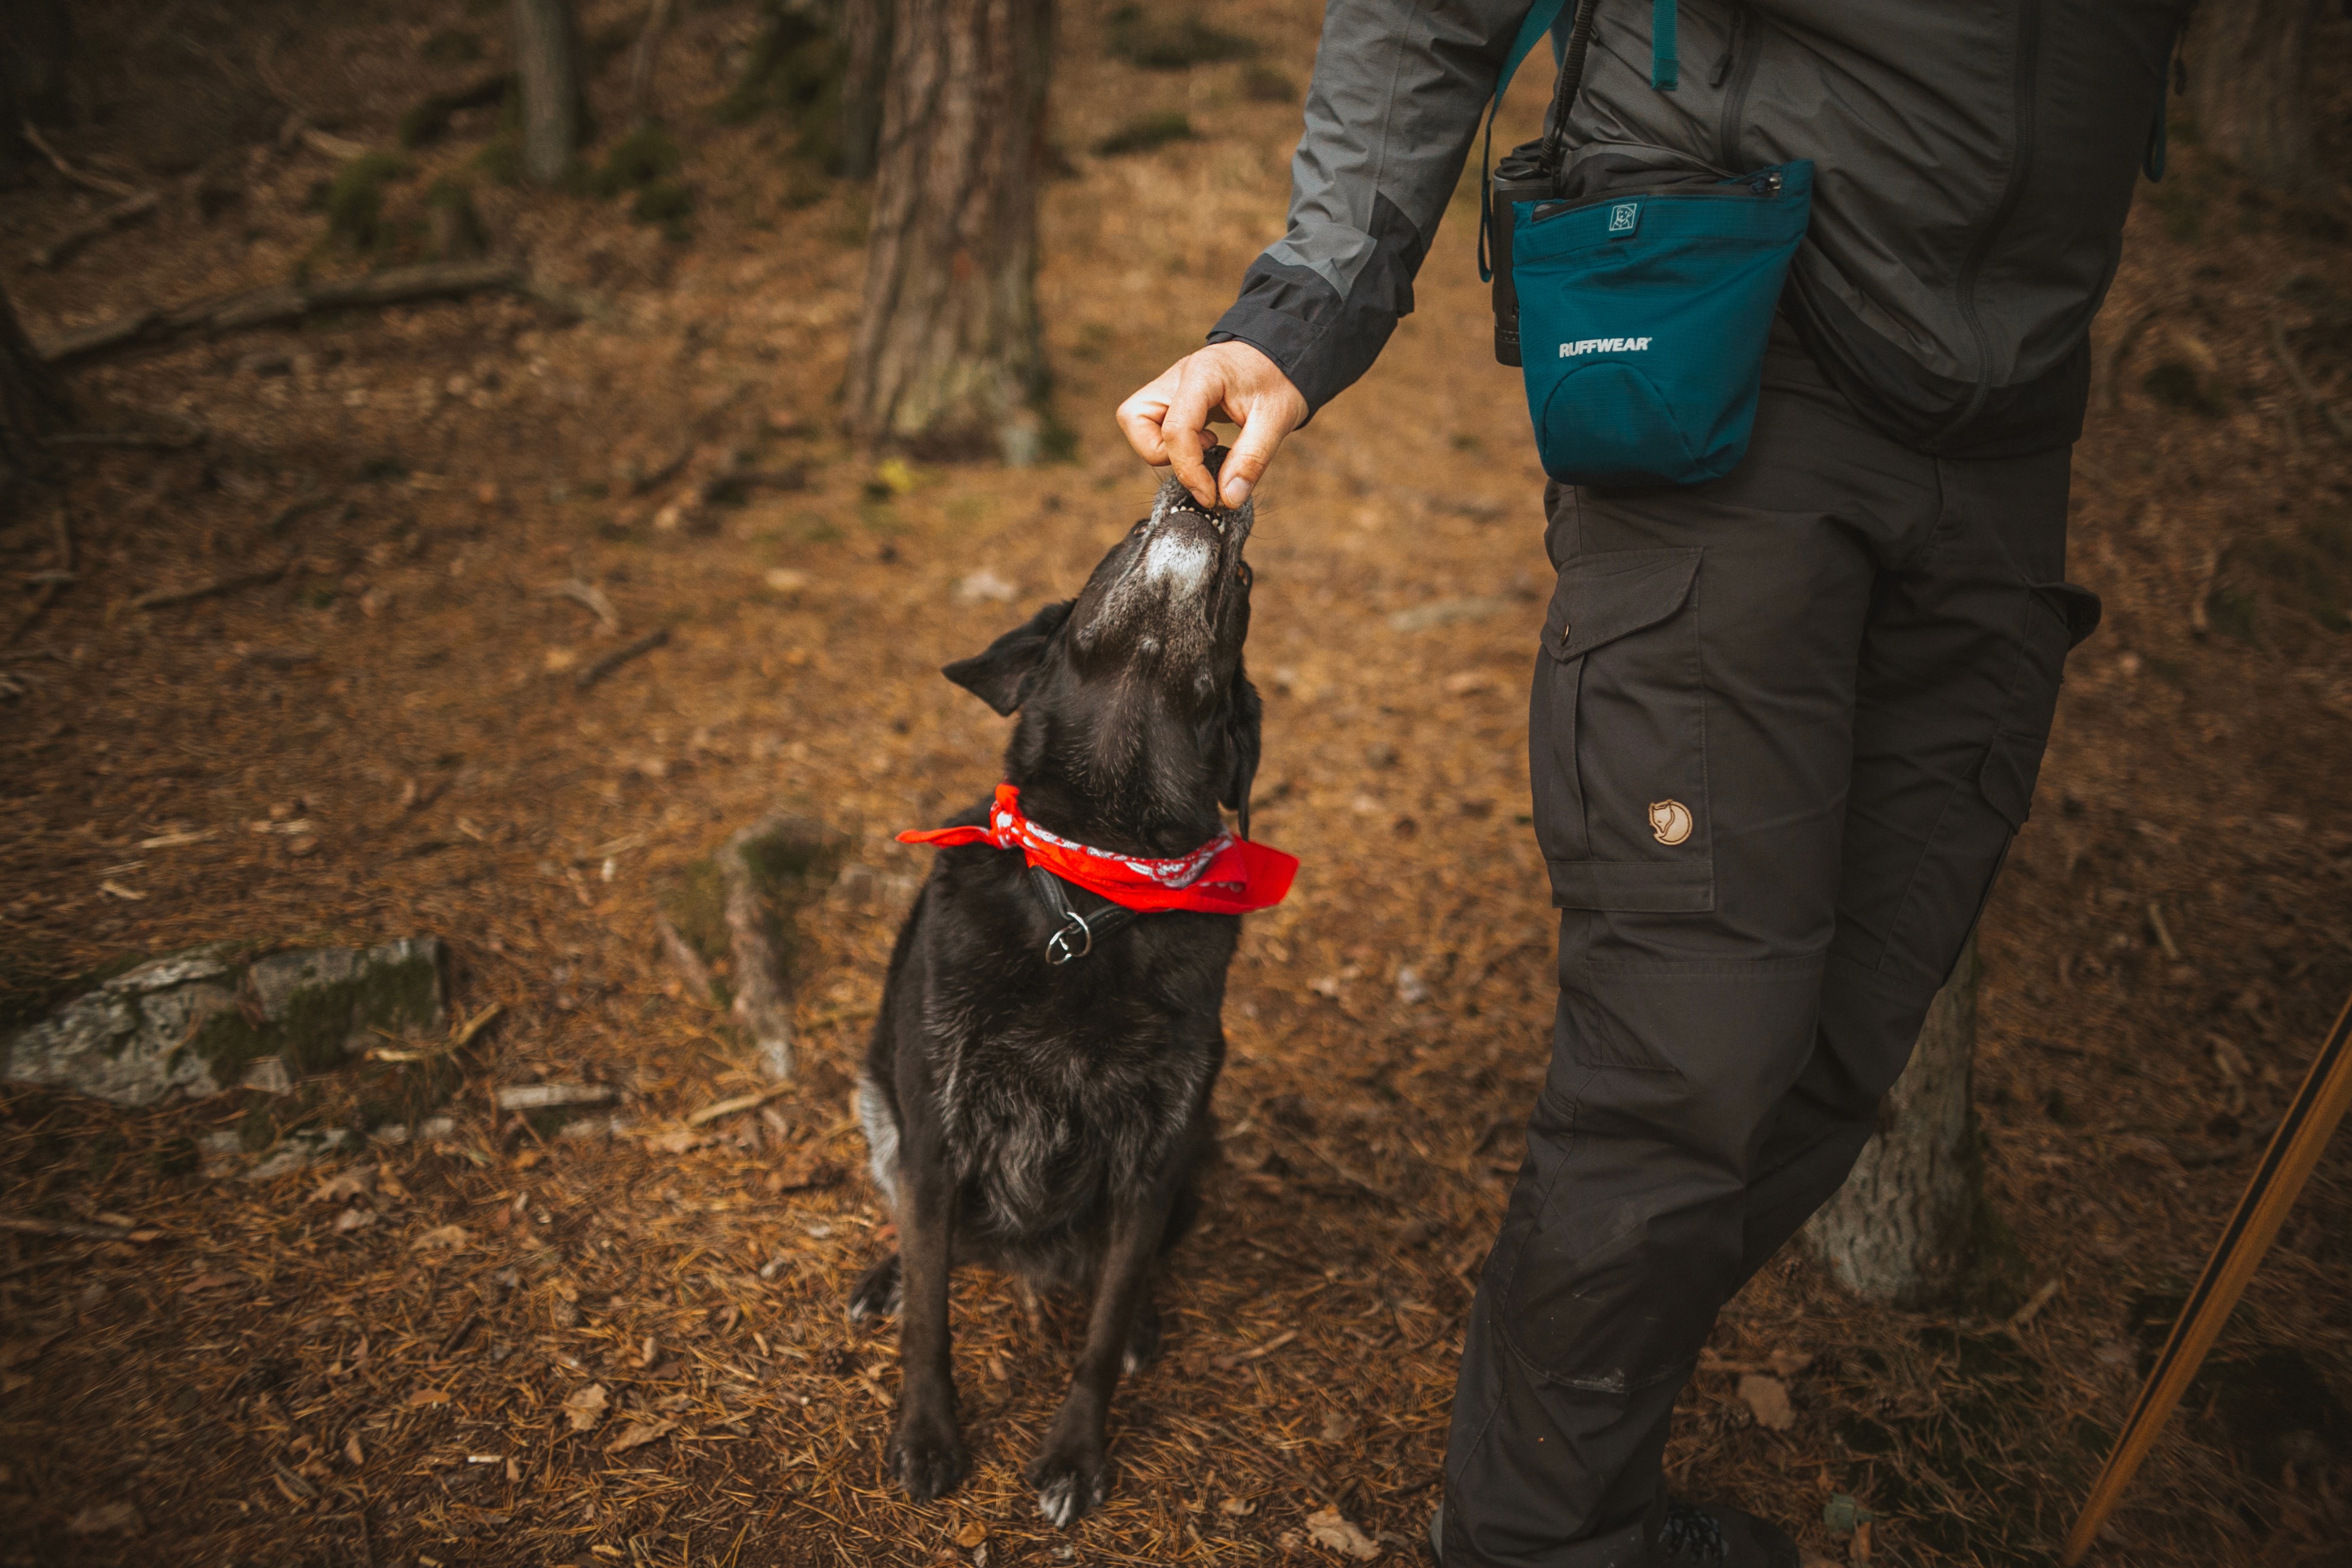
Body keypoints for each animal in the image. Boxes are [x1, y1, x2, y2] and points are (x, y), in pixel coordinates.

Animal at [849, 450, 1291, 1525]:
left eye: (1246, 585)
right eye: (1124, 538)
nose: (1207, 498)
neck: (1093, 887)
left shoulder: (1152, 1155)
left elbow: (1098, 1334)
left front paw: (1075, 1457)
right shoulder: (936, 1135)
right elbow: (931, 1316)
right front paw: (928, 1434)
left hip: (1197, 1152)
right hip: (880, 1109)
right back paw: (886, 1277)